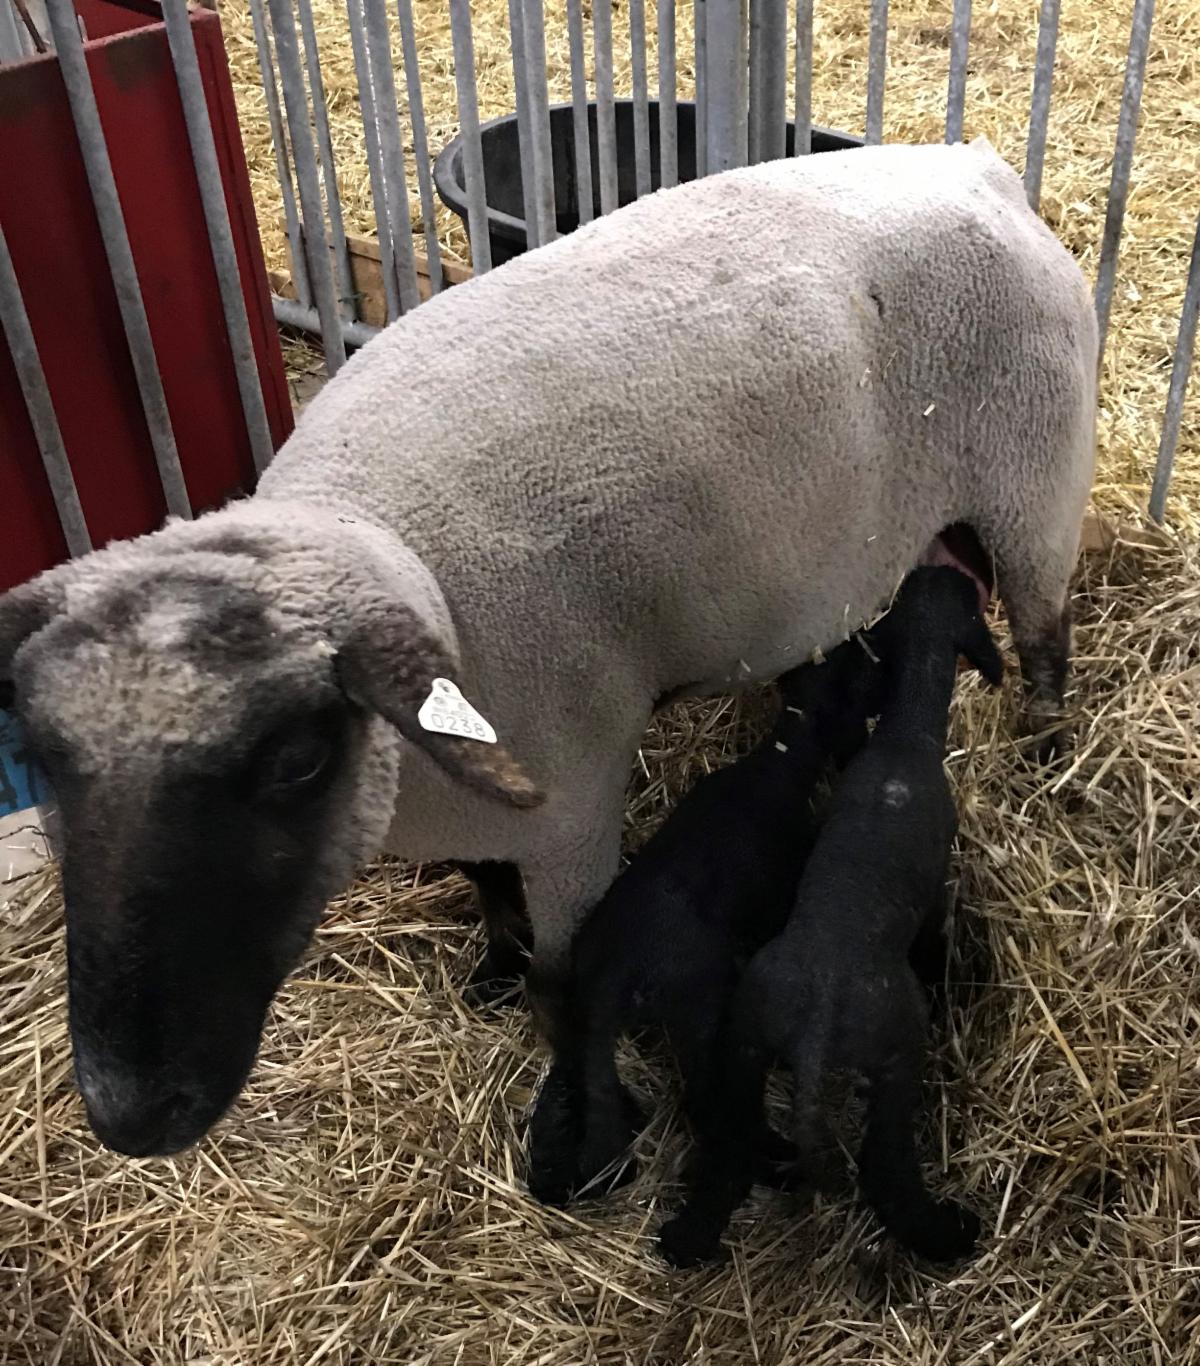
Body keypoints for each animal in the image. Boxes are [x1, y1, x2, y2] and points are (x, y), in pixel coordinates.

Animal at [527, 640, 881, 1207]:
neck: (780, 761)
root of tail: (622, 976)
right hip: (699, 1013)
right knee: (705, 1101)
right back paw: (772, 1155)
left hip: (598, 1017)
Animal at [657, 566, 1003, 1269]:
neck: (904, 733)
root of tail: (816, 1030)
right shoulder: (933, 891)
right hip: (896, 1055)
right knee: (887, 1173)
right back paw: (950, 1234)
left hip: (745, 1043)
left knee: (731, 1148)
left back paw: (686, 1240)